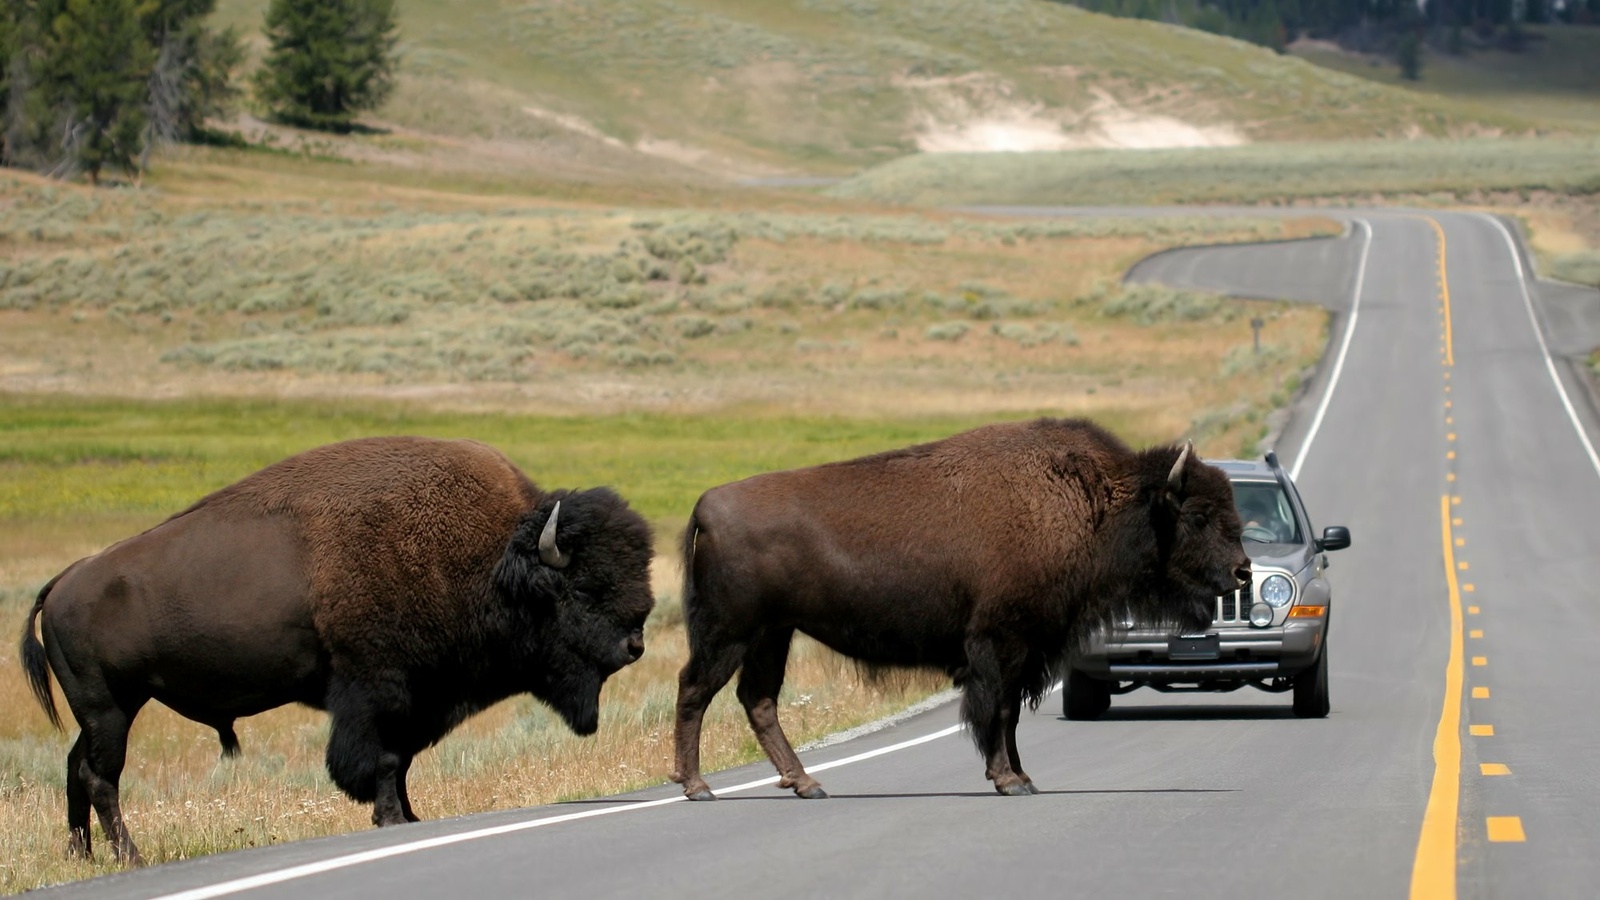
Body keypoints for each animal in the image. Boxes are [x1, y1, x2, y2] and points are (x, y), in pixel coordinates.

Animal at [18, 435, 656, 864]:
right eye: (585, 588)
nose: (635, 643)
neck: (496, 560)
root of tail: (63, 582)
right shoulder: (376, 690)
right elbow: (381, 760)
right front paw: (393, 818)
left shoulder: (417, 699)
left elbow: (400, 759)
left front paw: (411, 814)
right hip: (109, 709)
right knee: (101, 776)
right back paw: (130, 856)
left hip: (109, 711)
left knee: (76, 766)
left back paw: (82, 856)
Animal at [672, 416, 1248, 794]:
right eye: (1198, 515)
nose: (1242, 571)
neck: (1095, 501)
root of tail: (705, 505)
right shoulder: (1000, 644)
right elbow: (995, 709)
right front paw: (1008, 779)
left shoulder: (1027, 651)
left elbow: (1009, 714)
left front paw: (1023, 776)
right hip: (731, 633)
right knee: (695, 689)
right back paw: (697, 786)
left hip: (773, 634)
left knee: (758, 700)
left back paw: (805, 783)